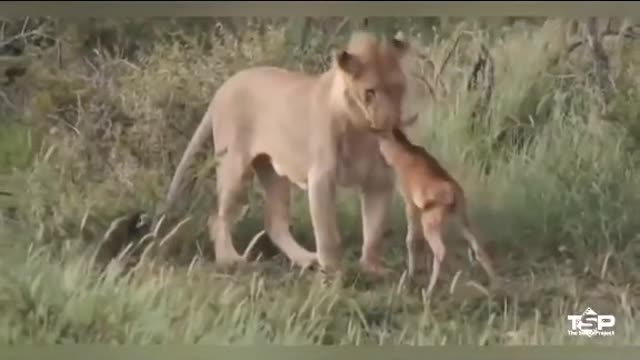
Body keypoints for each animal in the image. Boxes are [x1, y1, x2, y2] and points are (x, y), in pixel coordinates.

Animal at [376, 126, 500, 298]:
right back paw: (495, 285)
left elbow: (410, 240)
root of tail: (453, 193)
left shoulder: (410, 204)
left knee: (441, 251)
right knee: (477, 246)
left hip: (430, 224)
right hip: (461, 220)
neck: (403, 152)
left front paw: (410, 275)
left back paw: (429, 291)